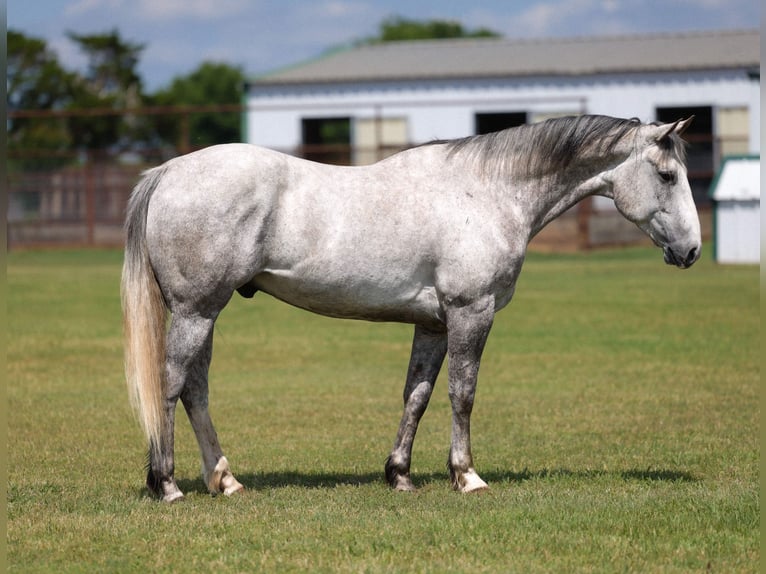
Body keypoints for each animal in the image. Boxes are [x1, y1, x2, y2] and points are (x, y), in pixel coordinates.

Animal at [121, 114, 700, 502]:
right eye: (668, 176)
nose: (692, 250)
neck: (485, 192)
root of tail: (169, 171)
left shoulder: (433, 324)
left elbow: (417, 396)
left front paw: (399, 474)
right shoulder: (471, 313)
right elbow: (463, 394)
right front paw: (467, 475)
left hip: (204, 313)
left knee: (195, 390)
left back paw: (225, 479)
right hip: (196, 310)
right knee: (171, 385)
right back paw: (166, 484)